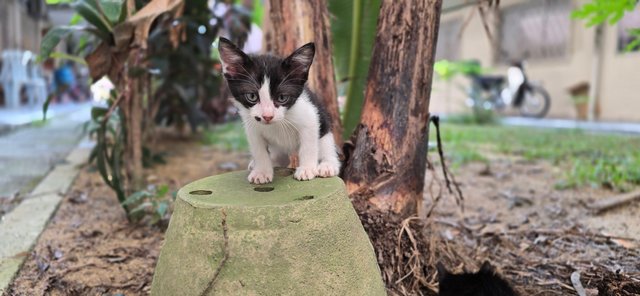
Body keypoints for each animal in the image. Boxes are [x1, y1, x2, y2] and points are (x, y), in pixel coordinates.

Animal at [219, 37, 342, 184]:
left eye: (282, 98)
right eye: (252, 96)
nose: (267, 116)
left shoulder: (310, 116)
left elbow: (309, 145)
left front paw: (307, 169)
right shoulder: (251, 125)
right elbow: (259, 149)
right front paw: (261, 171)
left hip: (324, 124)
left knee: (326, 143)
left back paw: (328, 165)